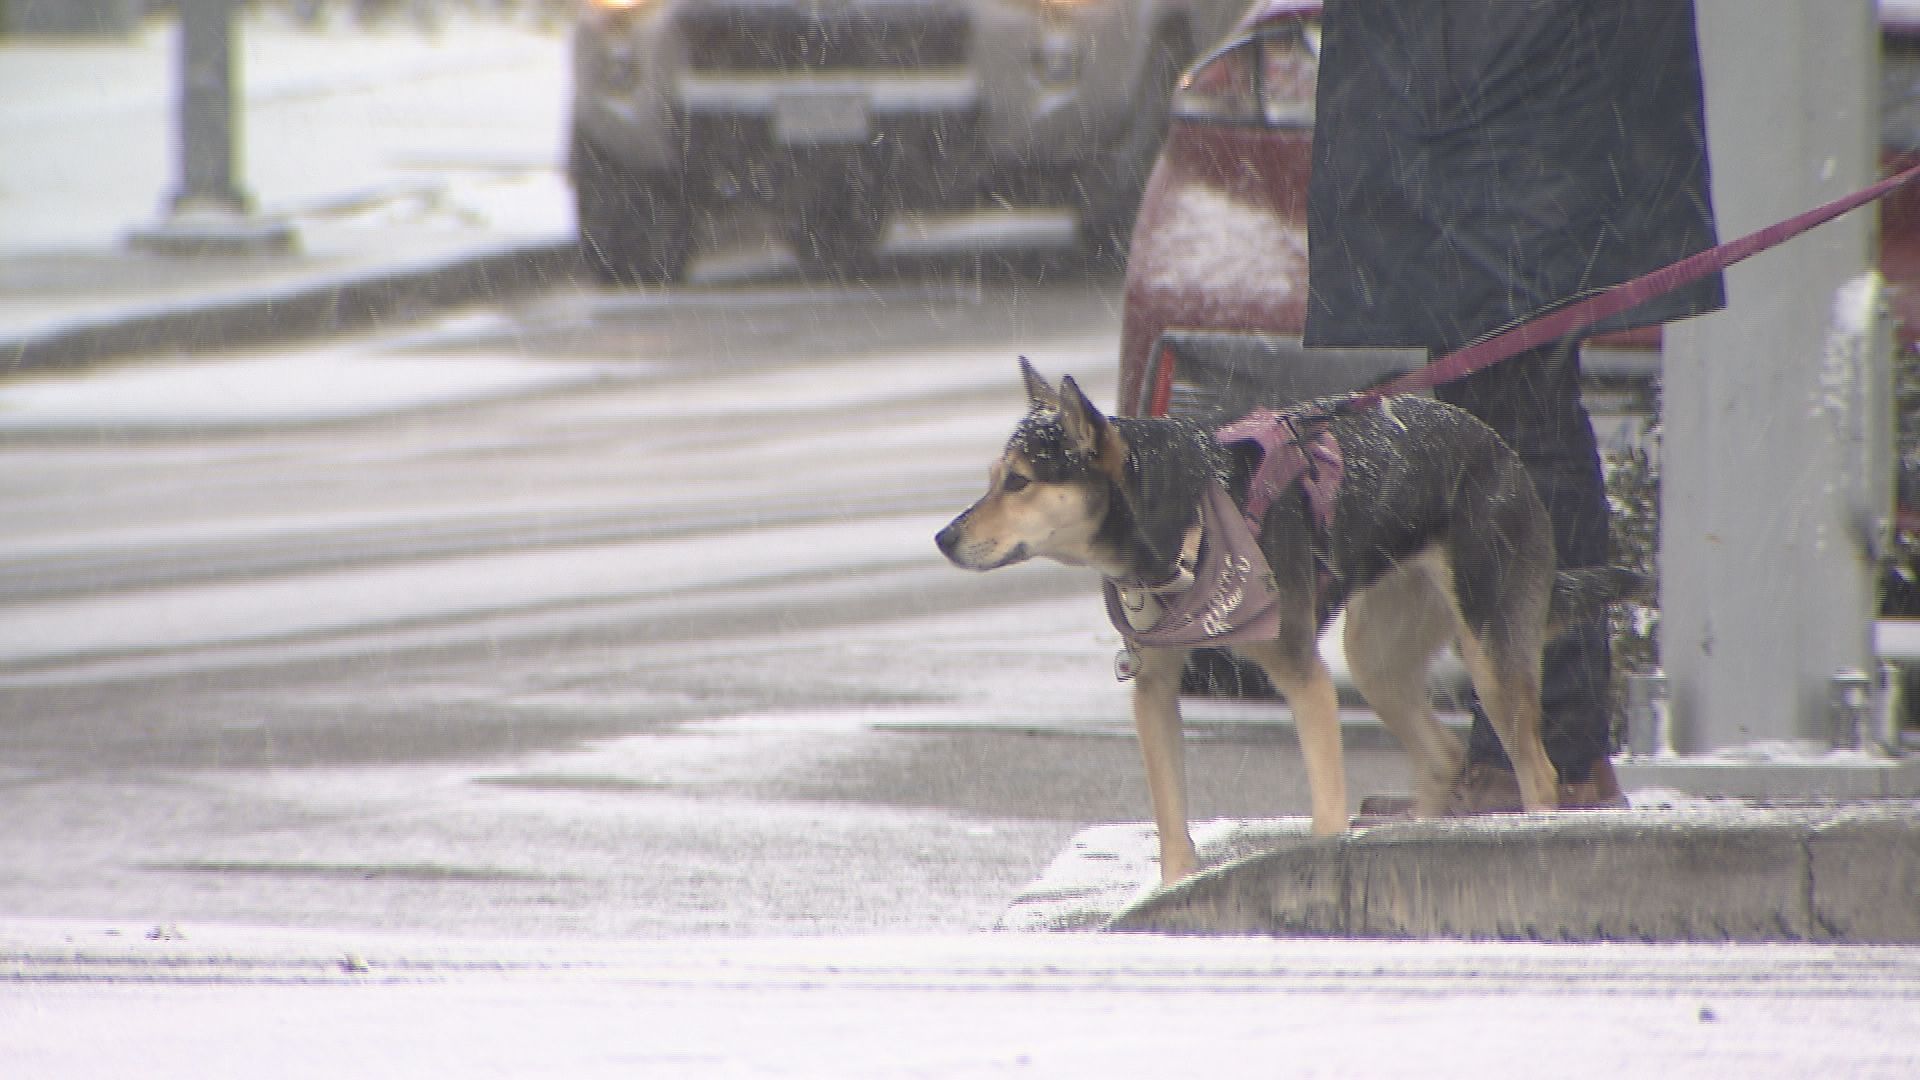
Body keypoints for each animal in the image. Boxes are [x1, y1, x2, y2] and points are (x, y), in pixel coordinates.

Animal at [936, 357, 1628, 880]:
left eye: (1021, 482)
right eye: (995, 478)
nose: (943, 538)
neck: (1182, 514)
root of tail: (1499, 446)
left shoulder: (1302, 675)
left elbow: (1327, 811)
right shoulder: (1154, 690)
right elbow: (1171, 822)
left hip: (1489, 652)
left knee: (1536, 769)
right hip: (1375, 655)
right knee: (1442, 752)